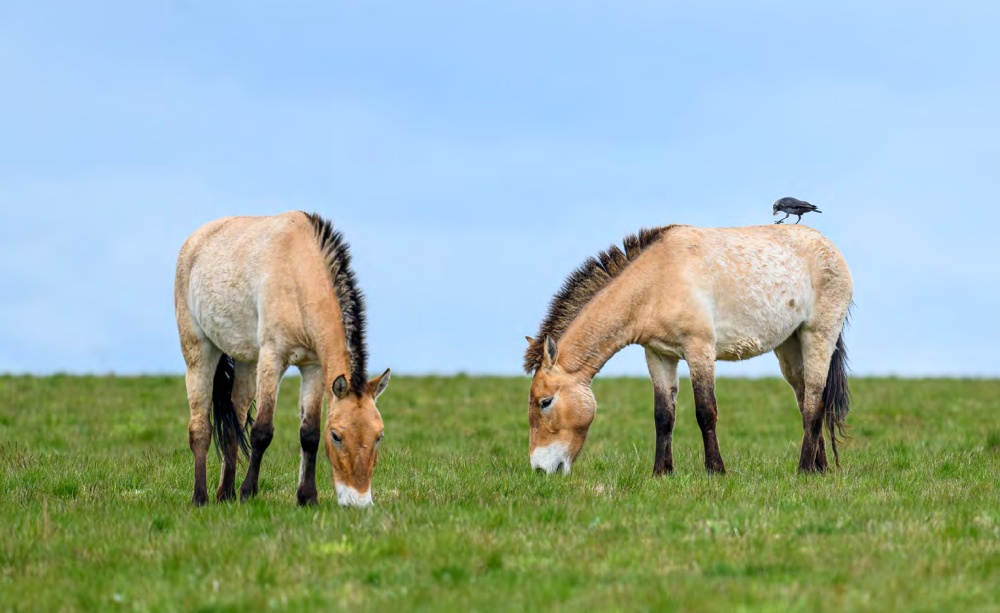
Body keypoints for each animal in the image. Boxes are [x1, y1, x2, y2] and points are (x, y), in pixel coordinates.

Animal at [174, 210, 388, 506]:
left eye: (379, 436)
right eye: (336, 436)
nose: (359, 502)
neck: (300, 273)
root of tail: (193, 243)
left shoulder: (313, 368)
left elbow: (309, 433)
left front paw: (307, 498)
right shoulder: (272, 358)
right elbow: (262, 431)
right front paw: (248, 492)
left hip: (246, 361)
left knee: (234, 422)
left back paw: (225, 494)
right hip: (198, 351)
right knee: (200, 429)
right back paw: (200, 498)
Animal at [524, 222, 852, 476]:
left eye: (545, 402)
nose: (540, 469)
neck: (654, 283)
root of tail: (832, 248)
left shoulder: (699, 350)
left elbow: (705, 411)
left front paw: (716, 470)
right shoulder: (659, 355)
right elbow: (663, 415)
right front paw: (661, 472)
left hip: (818, 336)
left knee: (813, 402)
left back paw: (804, 469)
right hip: (790, 346)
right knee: (806, 399)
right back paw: (820, 467)